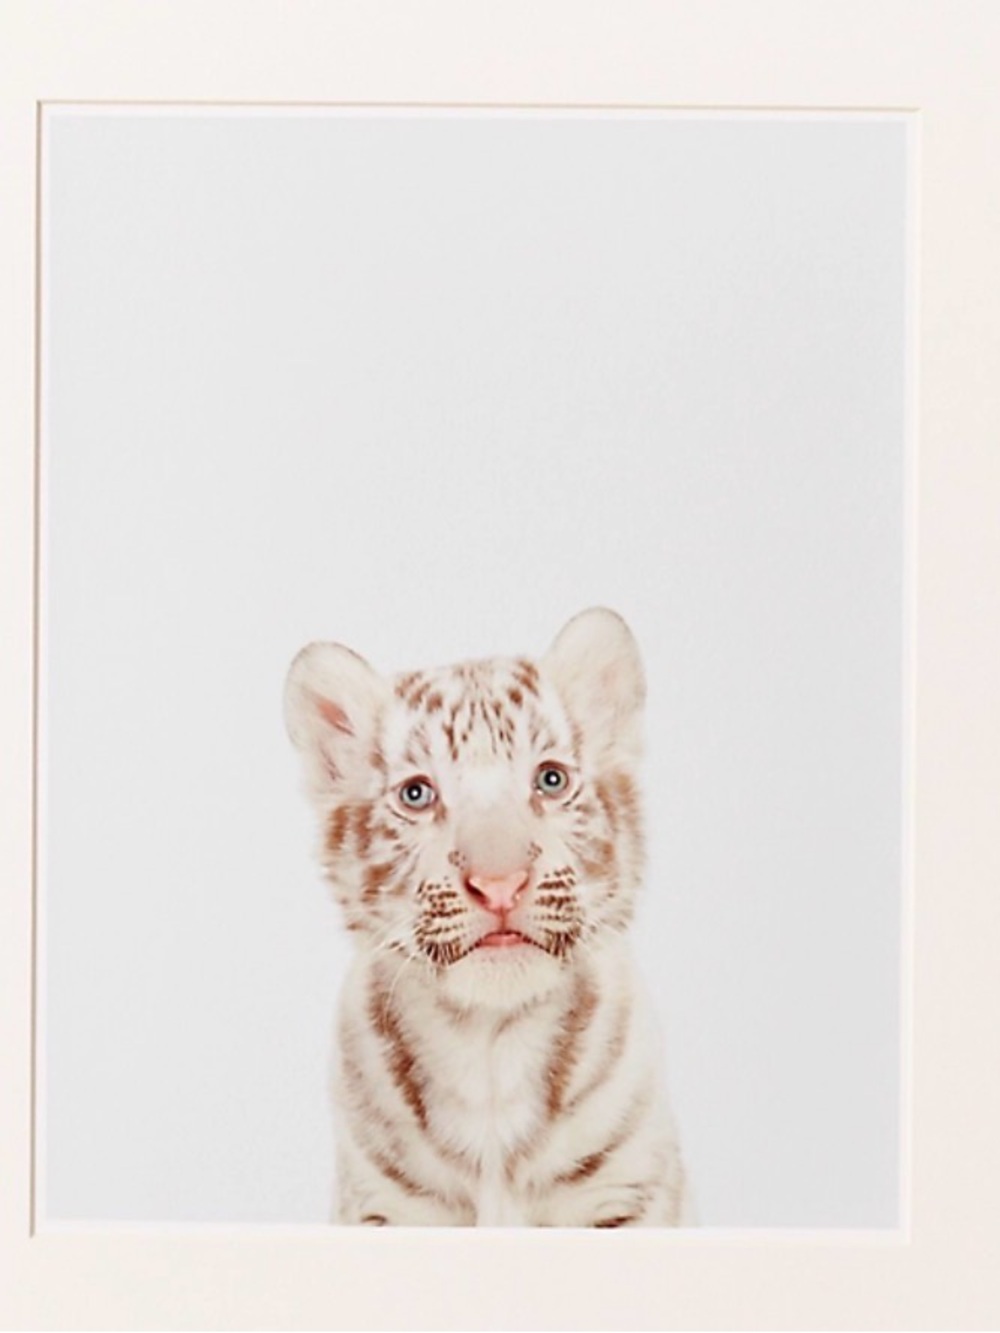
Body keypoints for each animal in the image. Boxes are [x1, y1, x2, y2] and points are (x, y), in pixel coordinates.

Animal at [284, 607, 691, 1226]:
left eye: (550, 779)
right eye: (417, 794)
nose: (499, 884)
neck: (491, 1045)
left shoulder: (629, 1193)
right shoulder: (380, 1207)